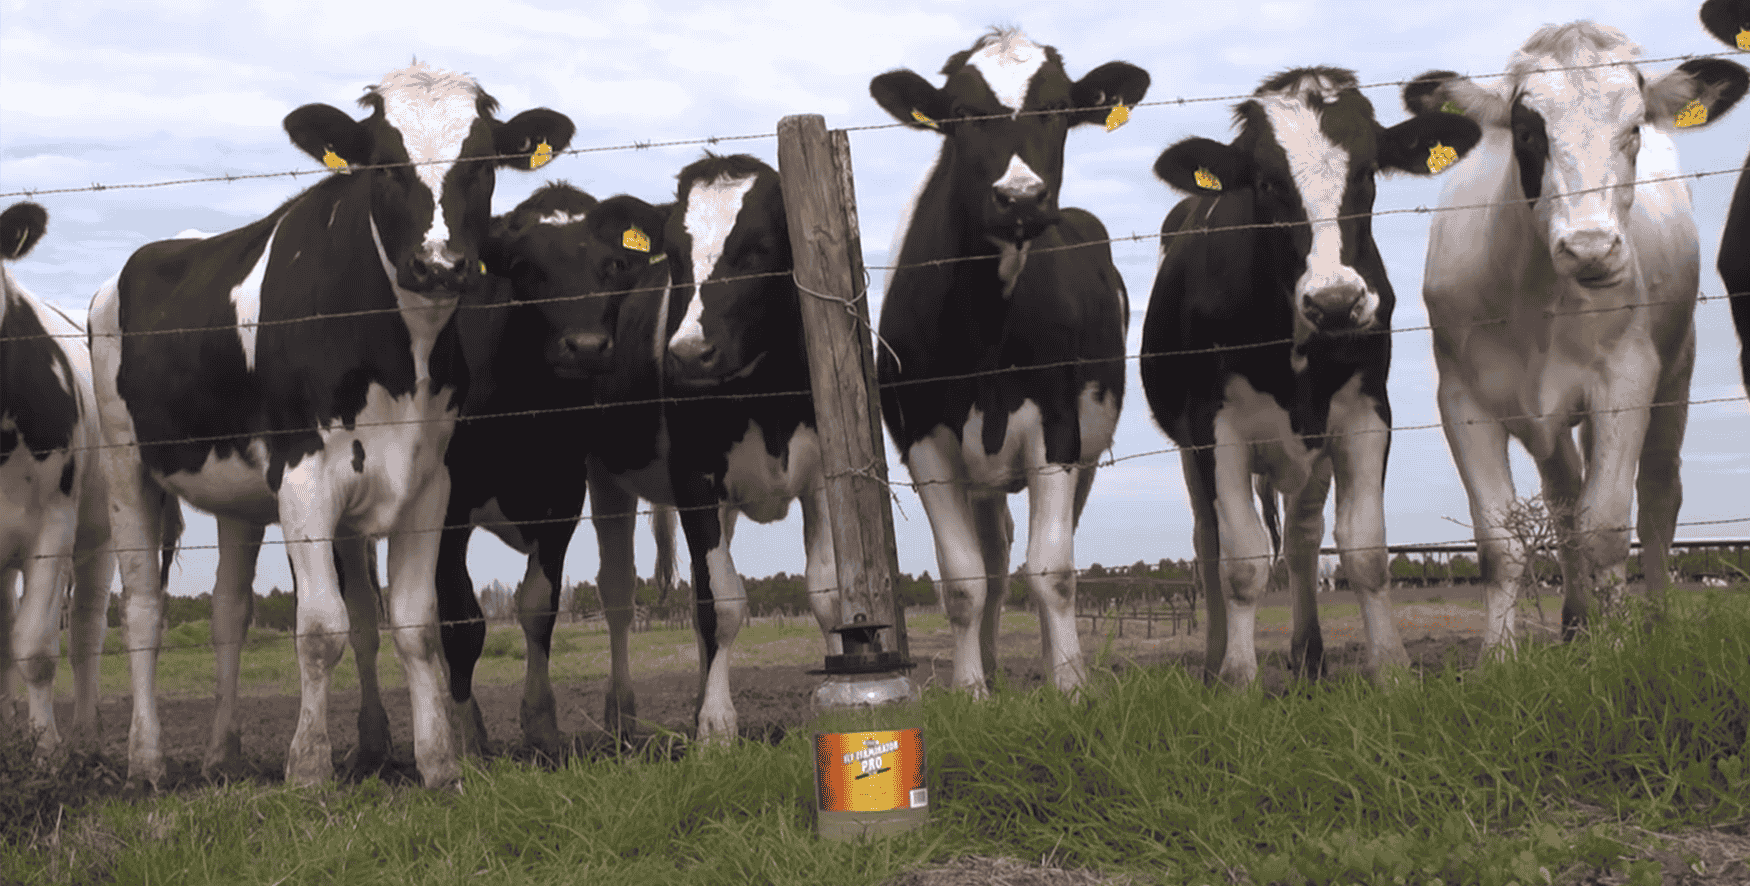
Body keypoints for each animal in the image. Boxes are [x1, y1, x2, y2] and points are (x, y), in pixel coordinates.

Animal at [89, 61, 574, 788]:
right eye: (385, 165)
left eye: (483, 164)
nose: (439, 264)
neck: (403, 358)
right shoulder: (304, 477)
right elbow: (321, 628)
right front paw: (310, 768)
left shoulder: (428, 485)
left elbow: (417, 627)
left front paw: (439, 764)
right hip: (127, 467)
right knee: (144, 607)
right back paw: (147, 762)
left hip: (238, 496)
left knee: (229, 611)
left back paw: (222, 754)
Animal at [871, 29, 1149, 694]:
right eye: (963, 113)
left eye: (1057, 109)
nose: (1021, 197)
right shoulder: (925, 440)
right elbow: (965, 579)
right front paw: (971, 691)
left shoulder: (1058, 430)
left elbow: (1052, 570)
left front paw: (1070, 685)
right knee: (995, 556)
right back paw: (992, 666)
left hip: (1086, 450)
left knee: (1047, 548)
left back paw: (1052, 662)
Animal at [1142, 67, 1481, 685]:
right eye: (1267, 183)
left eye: (1368, 173)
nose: (1336, 301)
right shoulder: (1214, 424)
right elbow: (1243, 559)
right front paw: (1237, 678)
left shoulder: (1366, 411)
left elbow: (1365, 547)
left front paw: (1391, 668)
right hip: (1190, 450)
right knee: (1208, 540)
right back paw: (1214, 660)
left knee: (1303, 537)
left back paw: (1310, 657)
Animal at [1404, 22, 1746, 655]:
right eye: (1526, 130)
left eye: (1633, 127)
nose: (1591, 248)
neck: (1534, 297)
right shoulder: (1462, 397)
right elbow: (1501, 541)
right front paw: (1499, 658)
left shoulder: (1626, 380)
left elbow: (1606, 526)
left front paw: (1619, 649)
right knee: (1564, 496)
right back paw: (1577, 619)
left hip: (1676, 371)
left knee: (1658, 496)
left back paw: (1655, 614)